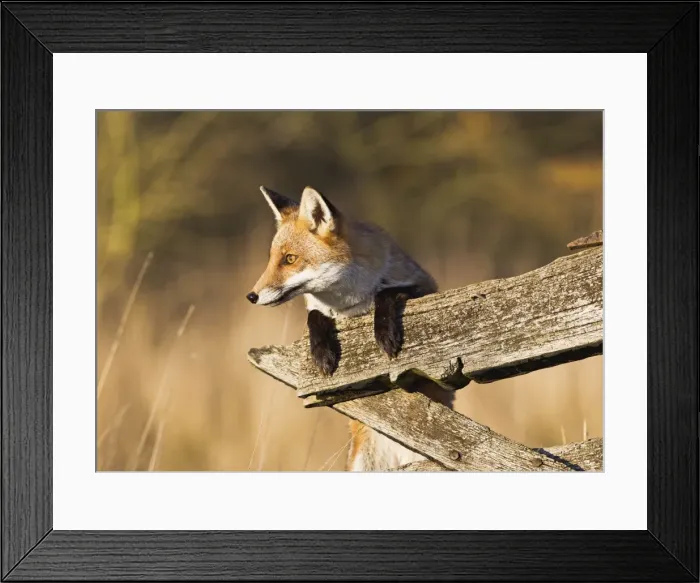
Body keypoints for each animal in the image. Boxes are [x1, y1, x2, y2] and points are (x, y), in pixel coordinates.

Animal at [246, 185, 454, 471]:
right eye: (272, 259)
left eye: (289, 259)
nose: (251, 296)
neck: (350, 305)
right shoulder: (319, 312)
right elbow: (314, 316)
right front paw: (323, 353)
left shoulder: (427, 289)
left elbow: (387, 293)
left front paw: (385, 334)